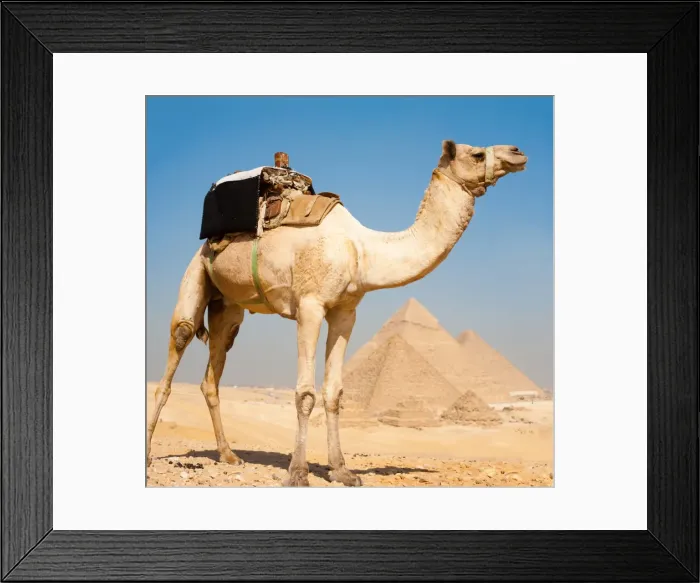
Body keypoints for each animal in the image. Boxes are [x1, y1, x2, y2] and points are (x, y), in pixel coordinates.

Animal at [146, 139, 528, 487]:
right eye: (475, 153)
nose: (517, 152)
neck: (361, 250)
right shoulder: (310, 306)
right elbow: (305, 393)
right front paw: (298, 472)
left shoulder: (345, 312)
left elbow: (334, 393)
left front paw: (342, 470)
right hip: (196, 272)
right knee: (178, 343)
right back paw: (149, 453)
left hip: (228, 307)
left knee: (214, 370)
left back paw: (228, 454)